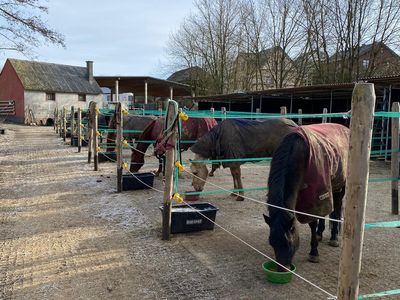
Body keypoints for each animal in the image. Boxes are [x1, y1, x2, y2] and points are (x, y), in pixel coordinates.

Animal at [264, 123, 348, 270]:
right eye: (272, 242)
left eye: (289, 243)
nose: (282, 269)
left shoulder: (315, 196)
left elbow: (313, 222)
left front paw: (314, 253)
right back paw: (320, 234)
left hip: (340, 184)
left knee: (336, 208)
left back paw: (334, 237)